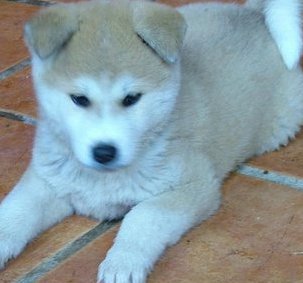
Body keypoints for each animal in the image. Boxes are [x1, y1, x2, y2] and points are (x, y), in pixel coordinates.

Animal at [0, 0, 303, 283]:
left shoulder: (193, 186)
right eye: (79, 99)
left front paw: (122, 261)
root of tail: (254, 14)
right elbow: (15, 210)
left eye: (131, 98)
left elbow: (142, 216)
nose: (104, 152)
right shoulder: (48, 180)